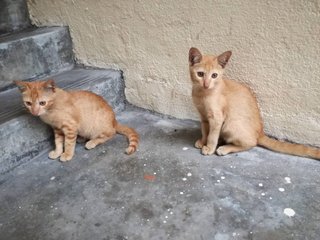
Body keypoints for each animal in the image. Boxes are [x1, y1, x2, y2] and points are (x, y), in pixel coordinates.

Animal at [189, 47, 320, 159]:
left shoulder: (217, 118)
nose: (206, 84)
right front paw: (203, 141)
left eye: (214, 75)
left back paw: (224, 148)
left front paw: (209, 147)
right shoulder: (203, 116)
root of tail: (260, 133)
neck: (202, 94)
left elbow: (212, 135)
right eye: (200, 74)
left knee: (252, 143)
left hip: (230, 124)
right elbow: (205, 131)